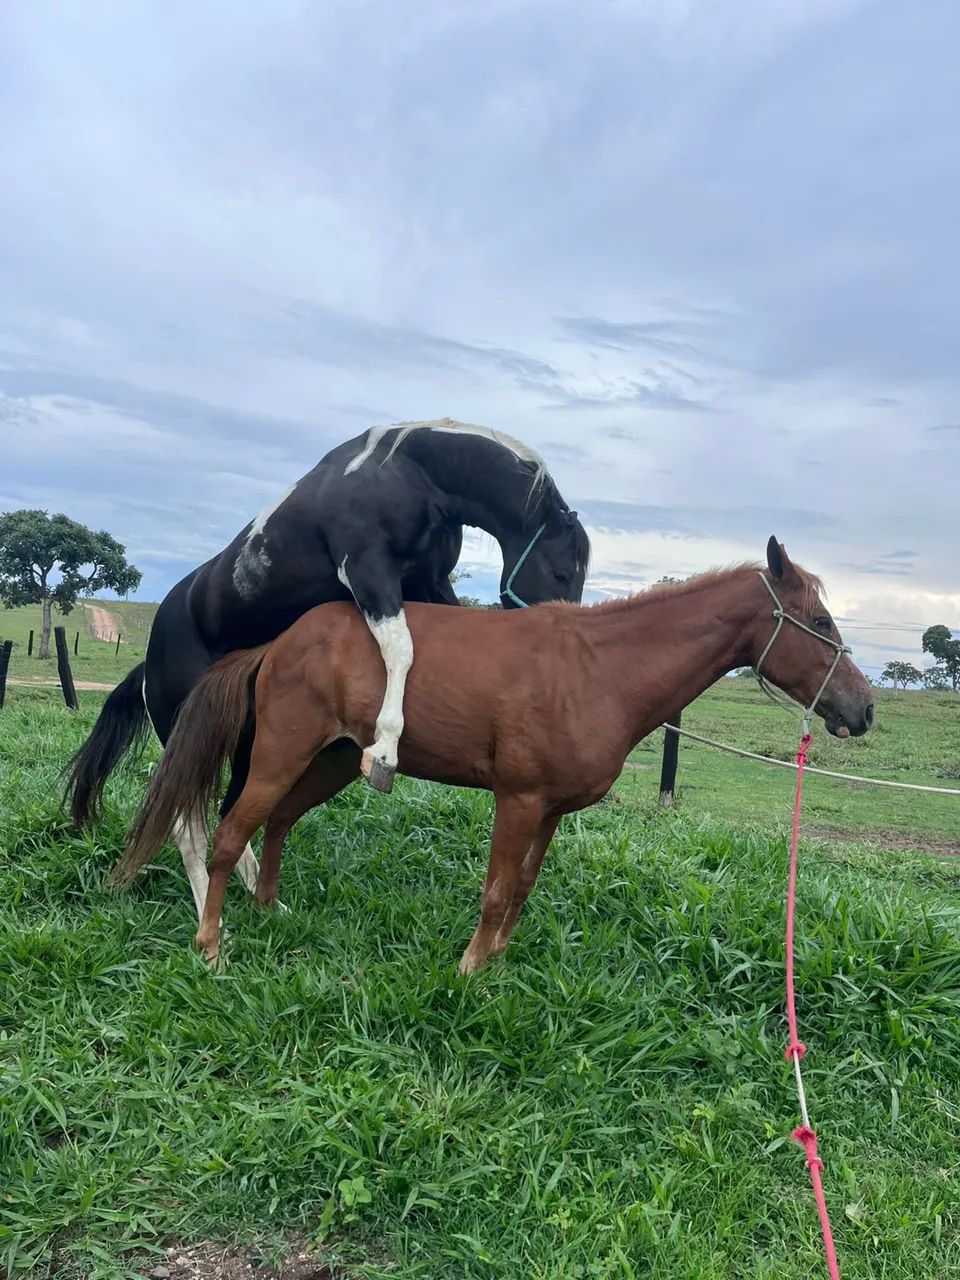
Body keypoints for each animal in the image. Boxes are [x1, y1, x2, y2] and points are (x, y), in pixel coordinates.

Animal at [64, 419, 590, 920]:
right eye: (563, 572)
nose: (565, 639)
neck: (408, 470)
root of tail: (149, 665)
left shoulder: (430, 582)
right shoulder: (368, 572)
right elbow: (402, 649)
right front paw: (384, 751)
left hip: (249, 741)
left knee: (232, 814)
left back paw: (260, 901)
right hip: (189, 736)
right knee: (187, 824)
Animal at [110, 537, 874, 970]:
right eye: (818, 620)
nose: (862, 708)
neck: (601, 668)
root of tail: (280, 642)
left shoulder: (552, 812)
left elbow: (524, 889)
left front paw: (500, 961)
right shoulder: (520, 801)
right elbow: (499, 890)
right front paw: (472, 969)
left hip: (331, 764)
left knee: (276, 826)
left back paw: (271, 913)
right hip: (280, 758)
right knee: (229, 837)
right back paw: (211, 948)